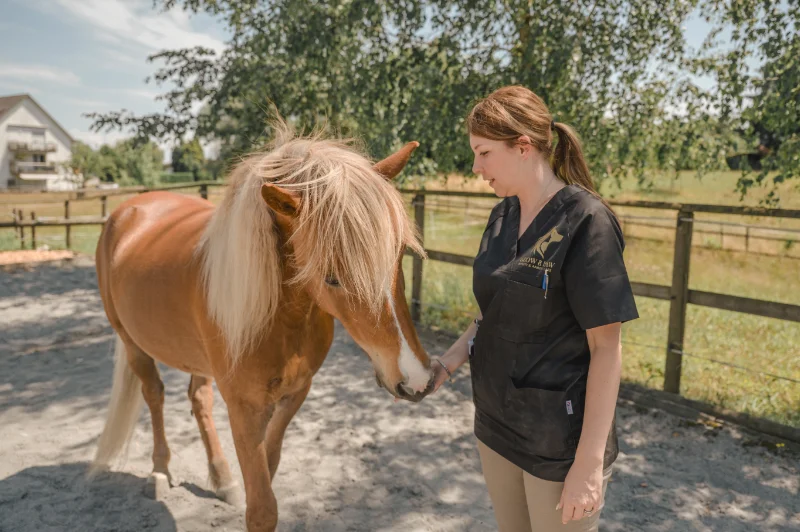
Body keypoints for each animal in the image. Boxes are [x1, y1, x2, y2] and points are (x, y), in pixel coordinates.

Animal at [90, 123, 435, 531]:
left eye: (399, 255)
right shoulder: (244, 407)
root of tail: (130, 210)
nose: (416, 380)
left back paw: (222, 477)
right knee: (154, 395)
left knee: (198, 399)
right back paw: (160, 470)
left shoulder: (294, 393)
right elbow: (262, 507)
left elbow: (268, 469)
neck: (280, 316)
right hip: (133, 344)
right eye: (331, 277)